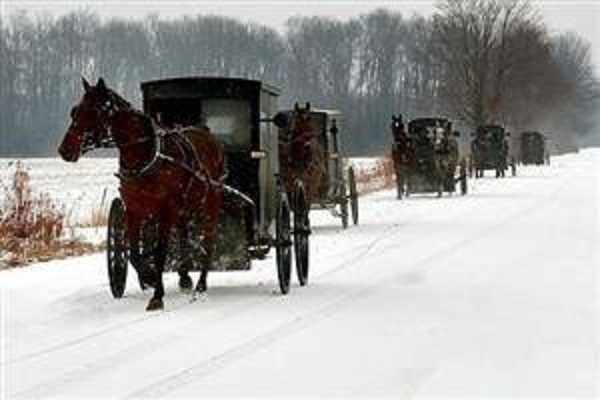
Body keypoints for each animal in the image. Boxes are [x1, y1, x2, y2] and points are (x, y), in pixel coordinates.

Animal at [58, 78, 225, 311]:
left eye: (93, 112)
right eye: (74, 111)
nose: (64, 150)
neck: (145, 157)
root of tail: (209, 135)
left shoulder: (165, 210)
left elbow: (160, 250)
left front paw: (157, 296)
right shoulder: (134, 209)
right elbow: (134, 253)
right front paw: (149, 277)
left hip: (210, 201)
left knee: (208, 241)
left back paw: (201, 285)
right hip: (183, 206)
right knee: (183, 235)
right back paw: (184, 277)